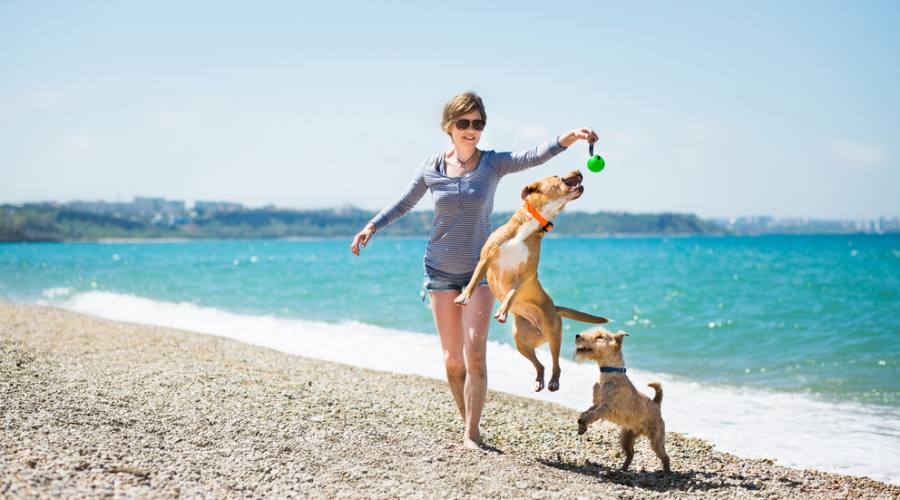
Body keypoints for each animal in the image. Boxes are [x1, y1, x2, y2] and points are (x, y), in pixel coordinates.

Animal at [458, 170, 612, 392]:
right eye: (555, 175)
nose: (579, 171)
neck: (531, 224)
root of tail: (555, 308)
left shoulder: (524, 275)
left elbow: (511, 294)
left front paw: (503, 311)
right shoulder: (485, 259)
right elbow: (473, 280)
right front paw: (464, 296)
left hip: (553, 333)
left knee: (556, 363)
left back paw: (553, 381)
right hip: (520, 341)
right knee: (540, 365)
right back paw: (539, 379)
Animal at [576, 328, 668, 472]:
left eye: (599, 337)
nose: (577, 335)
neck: (609, 372)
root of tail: (656, 403)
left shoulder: (605, 407)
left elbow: (591, 414)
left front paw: (583, 422)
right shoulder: (596, 403)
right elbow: (585, 412)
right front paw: (581, 426)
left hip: (656, 439)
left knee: (665, 457)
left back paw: (667, 472)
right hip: (626, 437)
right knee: (631, 454)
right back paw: (622, 469)